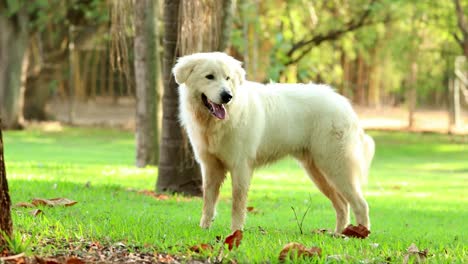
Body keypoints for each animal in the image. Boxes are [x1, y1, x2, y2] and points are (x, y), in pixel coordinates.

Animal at [174, 52, 374, 233]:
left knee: (360, 204)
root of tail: (344, 105)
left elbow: (237, 203)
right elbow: (208, 201)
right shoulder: (210, 167)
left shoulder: (240, 167)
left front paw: (236, 232)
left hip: (336, 166)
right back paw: (338, 234)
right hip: (318, 171)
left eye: (227, 78)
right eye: (209, 76)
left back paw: (360, 235)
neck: (216, 123)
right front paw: (204, 229)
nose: (227, 96)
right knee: (343, 205)